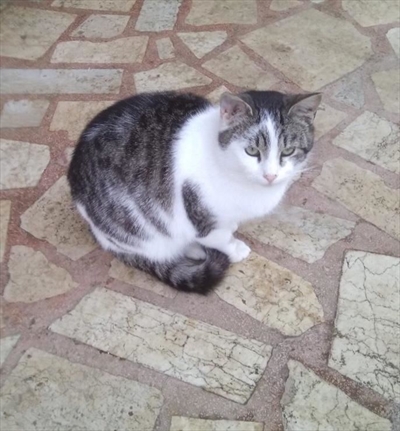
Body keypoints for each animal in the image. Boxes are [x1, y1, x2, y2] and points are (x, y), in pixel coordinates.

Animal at [68, 90, 321, 294]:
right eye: (251, 151)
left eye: (288, 151)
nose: (271, 175)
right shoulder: (199, 213)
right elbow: (220, 238)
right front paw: (234, 248)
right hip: (140, 228)